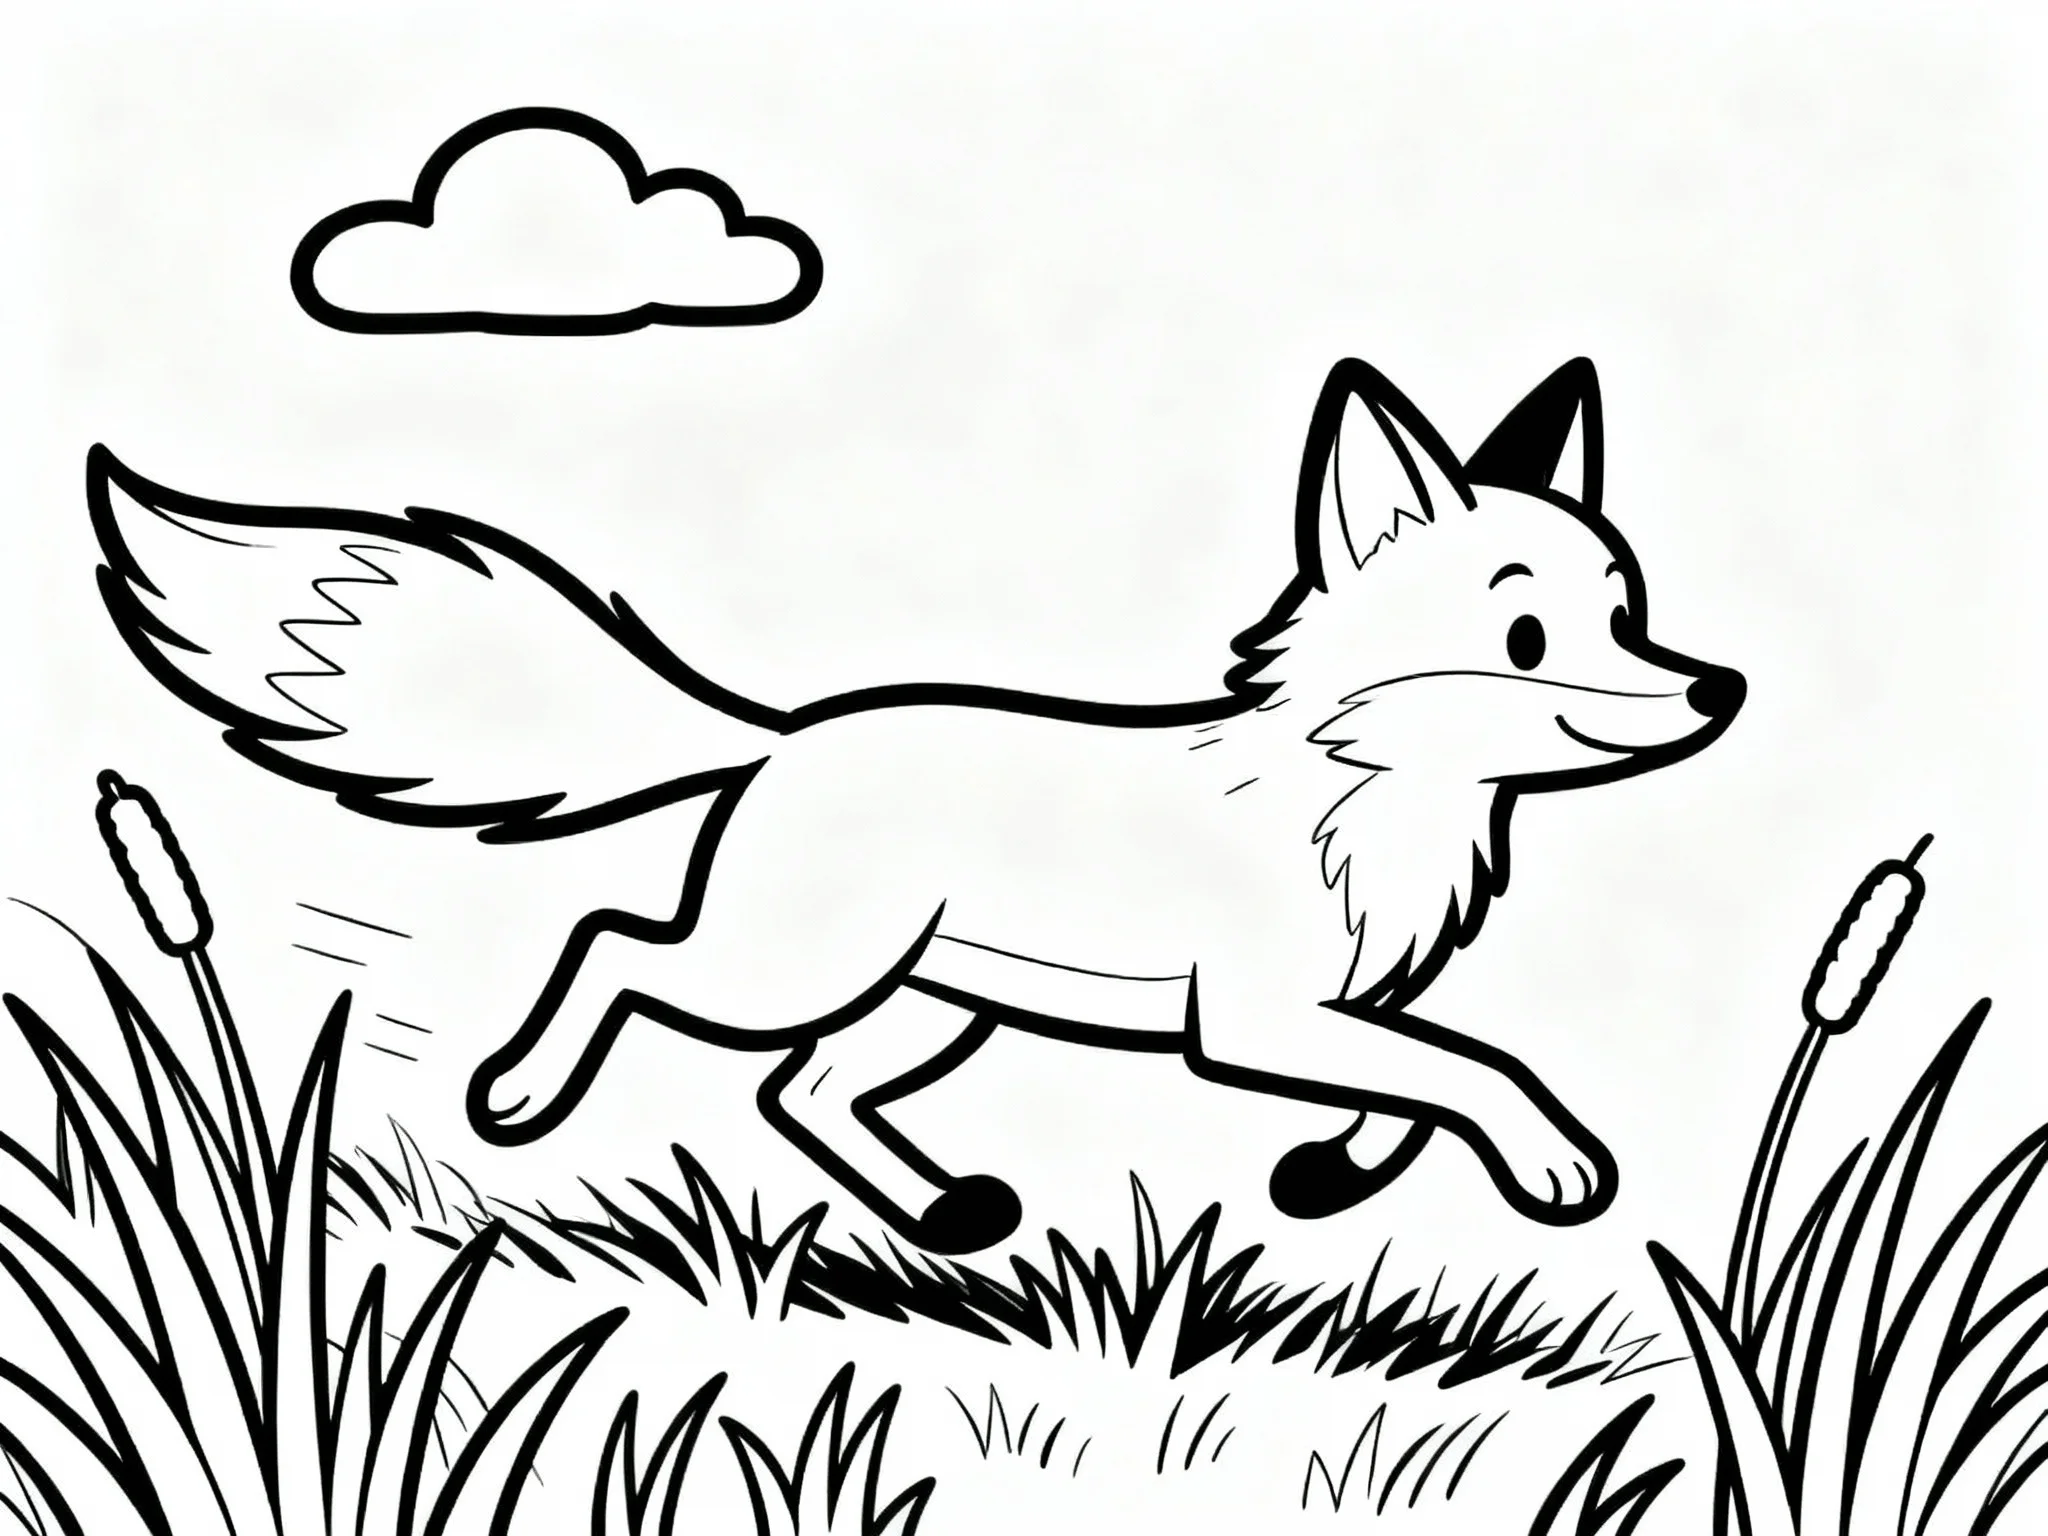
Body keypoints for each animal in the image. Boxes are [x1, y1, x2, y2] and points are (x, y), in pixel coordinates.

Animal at [88, 356, 1743, 1256]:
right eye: (1524, 636)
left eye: (1629, 613)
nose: (1719, 693)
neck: (1367, 798)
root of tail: (784, 735)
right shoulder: (1255, 1022)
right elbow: (1475, 1069)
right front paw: (1551, 1164)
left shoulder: (1338, 1008)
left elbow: (1415, 1084)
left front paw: (1331, 1177)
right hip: (791, 969)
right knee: (621, 944)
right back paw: (517, 1095)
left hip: (940, 1007)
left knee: (800, 1093)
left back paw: (949, 1214)